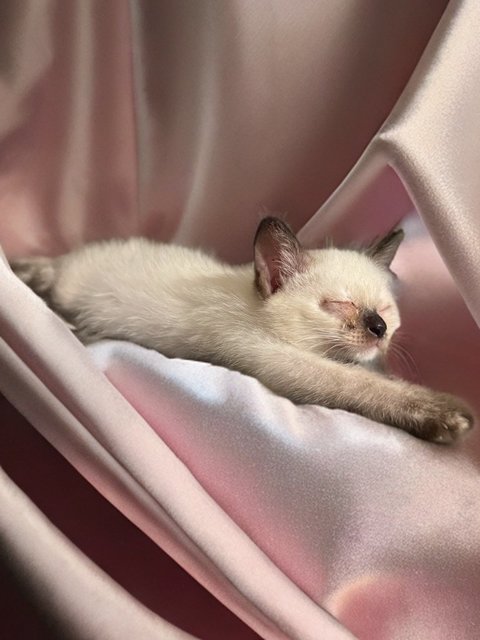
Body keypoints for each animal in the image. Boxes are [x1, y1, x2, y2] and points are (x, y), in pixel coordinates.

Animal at [10, 218, 472, 442]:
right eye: (339, 305)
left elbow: (371, 376)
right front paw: (448, 415)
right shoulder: (269, 357)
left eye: (387, 311)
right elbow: (354, 384)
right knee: (50, 275)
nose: (379, 329)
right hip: (71, 280)